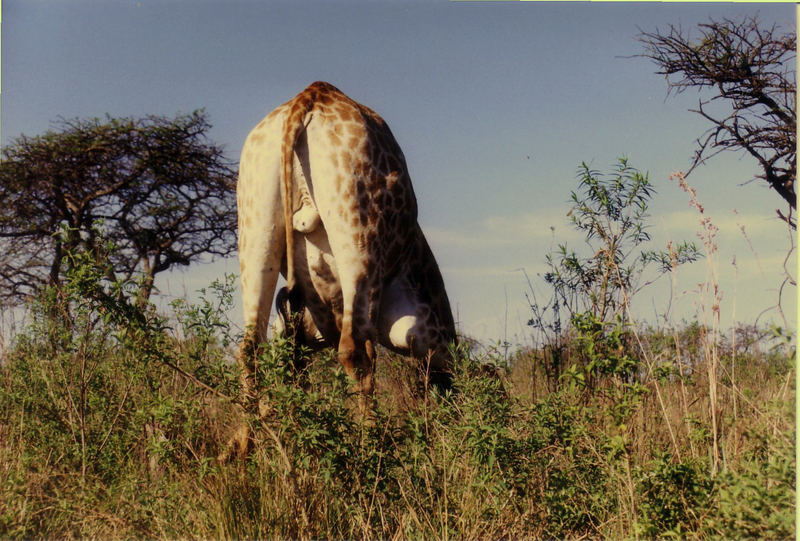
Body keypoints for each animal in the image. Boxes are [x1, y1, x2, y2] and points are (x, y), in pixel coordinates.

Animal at [233, 79, 456, 434]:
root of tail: (306, 100)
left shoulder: (305, 324)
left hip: (254, 222)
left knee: (250, 347)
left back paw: (245, 442)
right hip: (359, 233)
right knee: (355, 350)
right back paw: (372, 439)